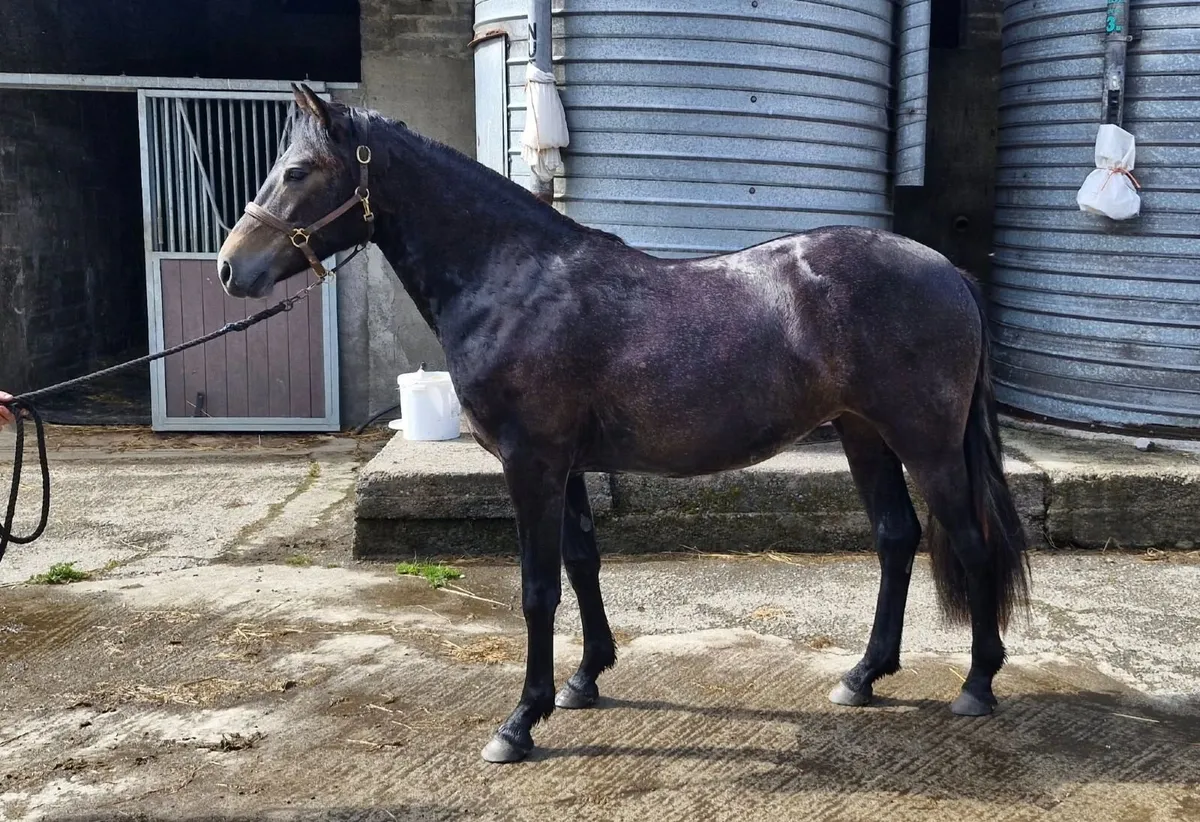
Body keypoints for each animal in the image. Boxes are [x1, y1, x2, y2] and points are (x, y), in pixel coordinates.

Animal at [217, 84, 1031, 764]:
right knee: (897, 538)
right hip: (865, 434)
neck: (515, 280)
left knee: (969, 541)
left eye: (297, 172)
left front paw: (521, 721)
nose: (231, 269)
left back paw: (977, 685)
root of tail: (949, 270)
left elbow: (537, 589)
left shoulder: (531, 463)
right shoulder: (566, 465)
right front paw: (584, 680)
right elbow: (582, 562)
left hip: (926, 443)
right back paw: (862, 676)